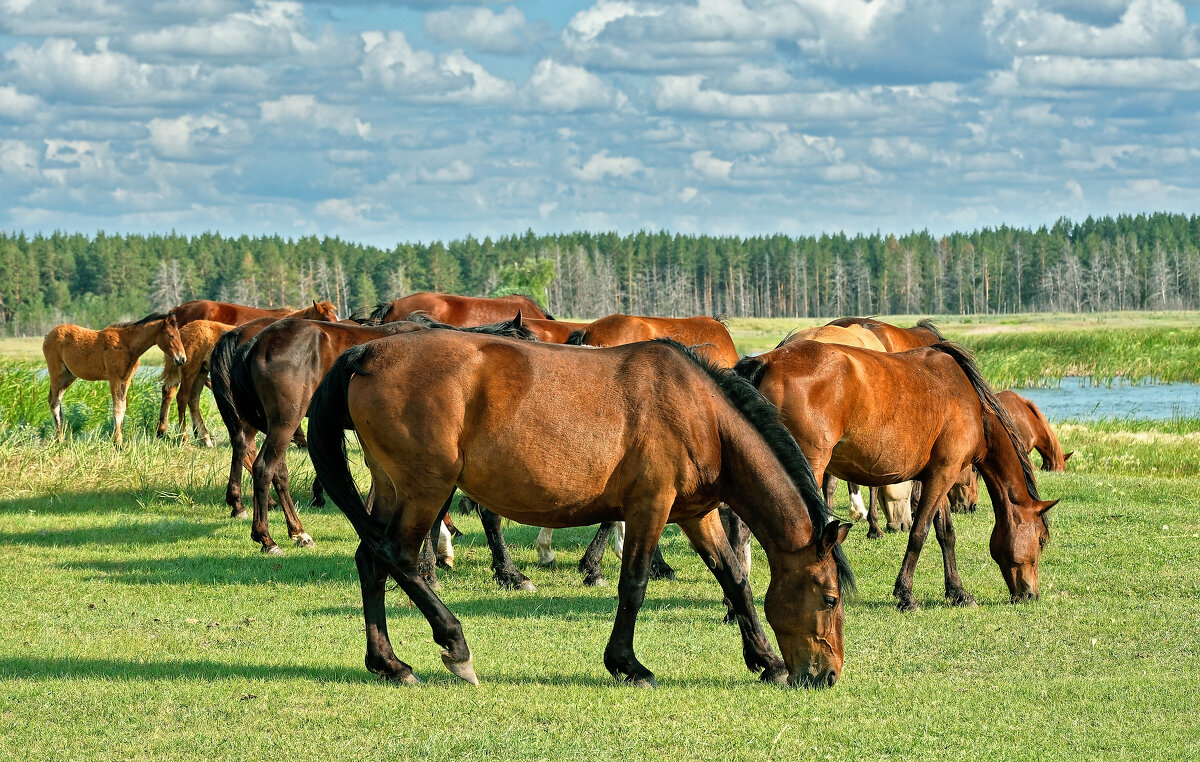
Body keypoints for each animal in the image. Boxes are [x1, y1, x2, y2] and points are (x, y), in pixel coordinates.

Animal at [43, 314, 187, 451]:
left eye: (179, 335)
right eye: (171, 335)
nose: (182, 359)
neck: (126, 345)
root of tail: (47, 336)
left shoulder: (125, 380)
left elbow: (122, 407)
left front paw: (118, 441)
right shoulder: (114, 379)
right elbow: (117, 408)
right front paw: (117, 444)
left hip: (69, 376)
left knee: (57, 400)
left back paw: (62, 437)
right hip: (57, 374)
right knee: (54, 402)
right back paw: (60, 439)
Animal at [226, 312, 537, 556]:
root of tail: (256, 343)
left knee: (278, 472)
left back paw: (297, 531)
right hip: (285, 421)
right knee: (264, 468)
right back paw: (267, 538)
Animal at [309, 336, 854, 686]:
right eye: (829, 599)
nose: (827, 676)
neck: (700, 411)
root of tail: (368, 351)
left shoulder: (694, 514)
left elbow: (735, 579)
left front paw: (766, 660)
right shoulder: (650, 508)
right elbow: (634, 584)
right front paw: (627, 664)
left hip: (393, 488)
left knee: (371, 560)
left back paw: (390, 664)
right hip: (426, 489)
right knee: (398, 557)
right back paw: (456, 646)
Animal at [729, 343, 1060, 612]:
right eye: (1041, 540)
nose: (1030, 595)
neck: (971, 403)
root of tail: (767, 361)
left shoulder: (938, 475)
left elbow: (945, 534)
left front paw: (958, 593)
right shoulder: (943, 475)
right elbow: (919, 533)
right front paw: (906, 595)